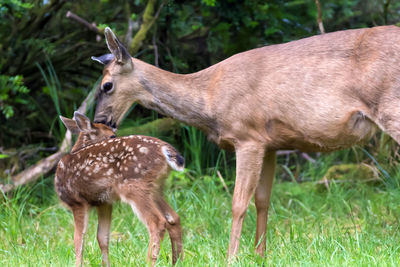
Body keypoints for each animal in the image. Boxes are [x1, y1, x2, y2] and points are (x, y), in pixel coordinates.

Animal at [55, 112, 184, 266]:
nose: (116, 136)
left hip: (134, 186)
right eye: (112, 136)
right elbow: (102, 237)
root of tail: (165, 151)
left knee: (157, 222)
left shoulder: (77, 202)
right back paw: (178, 261)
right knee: (173, 218)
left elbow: (78, 239)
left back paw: (148, 262)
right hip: (156, 189)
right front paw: (106, 265)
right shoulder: (104, 202)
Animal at [92, 26, 400, 258]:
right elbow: (263, 201)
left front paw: (232, 257)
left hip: (392, 108)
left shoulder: (247, 137)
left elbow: (238, 203)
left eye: (106, 85)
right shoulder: (270, 143)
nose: (101, 121)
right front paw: (260, 255)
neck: (210, 97)